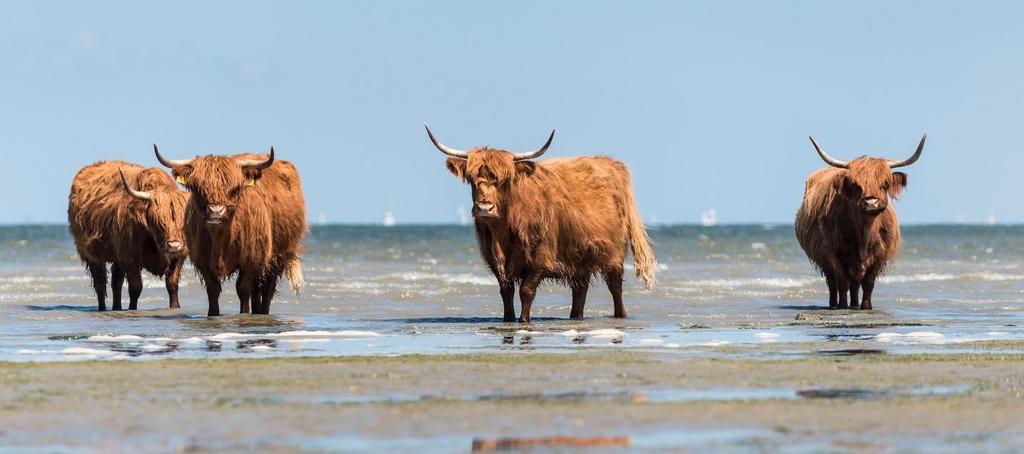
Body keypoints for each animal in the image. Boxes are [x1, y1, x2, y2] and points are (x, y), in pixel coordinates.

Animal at [67, 161, 189, 311]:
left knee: (116, 282)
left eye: (181, 218)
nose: (174, 245)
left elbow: (172, 284)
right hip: (91, 253)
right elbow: (136, 287)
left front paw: (175, 307)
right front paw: (132, 309)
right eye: (157, 219)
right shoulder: (130, 257)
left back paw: (117, 308)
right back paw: (102, 308)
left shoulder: (179, 256)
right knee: (100, 282)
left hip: (117, 255)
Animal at [151, 145, 303, 315]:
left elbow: (243, 289)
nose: (215, 211)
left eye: (235, 188)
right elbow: (213, 289)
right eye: (198, 188)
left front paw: (243, 313)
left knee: (267, 289)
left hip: (277, 256)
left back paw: (263, 312)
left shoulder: (250, 259)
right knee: (257, 289)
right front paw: (213, 314)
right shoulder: (204, 260)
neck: (220, 237)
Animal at [423, 124, 655, 323]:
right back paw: (575, 317)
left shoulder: (540, 259)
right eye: (471, 179)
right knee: (580, 291)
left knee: (615, 288)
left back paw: (620, 315)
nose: (484, 208)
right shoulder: (495, 262)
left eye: (504, 180)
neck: (502, 234)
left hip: (614, 256)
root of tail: (613, 163)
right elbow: (506, 292)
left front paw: (524, 321)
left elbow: (526, 291)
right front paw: (508, 320)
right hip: (580, 257)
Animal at [790, 135, 929, 311]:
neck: (864, 234)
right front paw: (843, 305)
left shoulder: (880, 256)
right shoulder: (831, 253)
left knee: (855, 284)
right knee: (833, 283)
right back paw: (834, 305)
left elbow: (868, 282)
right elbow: (842, 281)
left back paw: (855, 305)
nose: (871, 203)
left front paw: (866, 307)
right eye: (856, 185)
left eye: (885, 184)